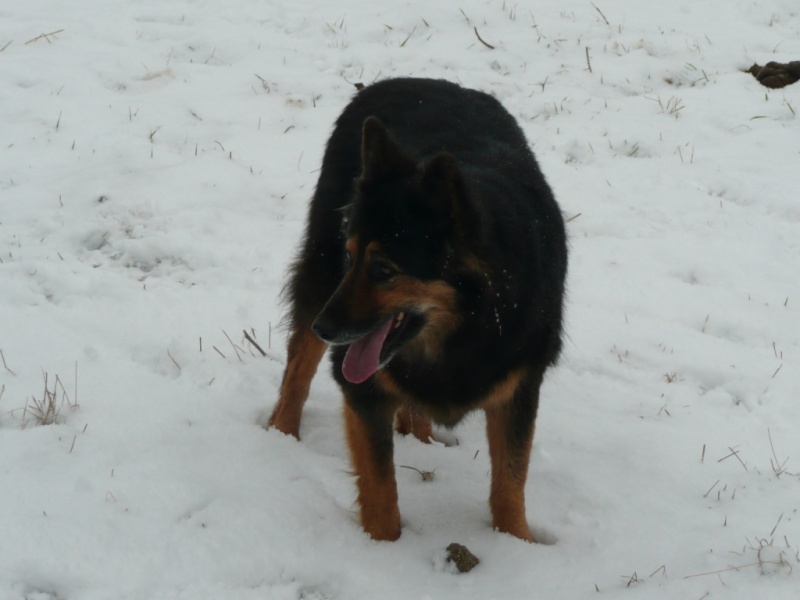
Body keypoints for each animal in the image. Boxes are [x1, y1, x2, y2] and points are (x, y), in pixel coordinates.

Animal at [270, 77, 568, 540]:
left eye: (384, 270)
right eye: (351, 255)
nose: (325, 328)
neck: (474, 321)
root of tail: (404, 80)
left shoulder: (519, 389)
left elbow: (510, 483)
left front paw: (517, 545)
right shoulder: (363, 389)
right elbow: (380, 491)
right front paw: (382, 549)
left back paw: (422, 438)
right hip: (320, 274)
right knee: (298, 366)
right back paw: (281, 436)